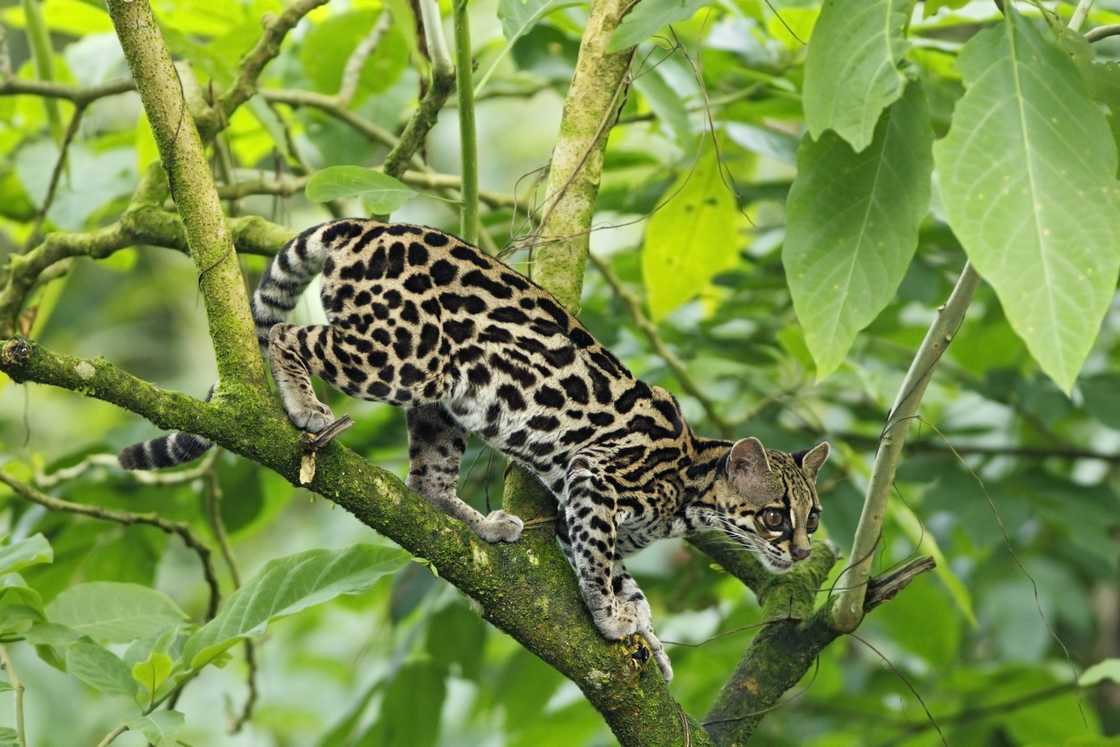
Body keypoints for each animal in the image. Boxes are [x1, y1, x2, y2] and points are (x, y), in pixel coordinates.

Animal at [120, 219, 833, 680]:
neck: (690, 482)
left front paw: (645, 631)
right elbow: (601, 566)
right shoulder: (593, 477)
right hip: (400, 357)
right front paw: (610, 617)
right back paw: (304, 405)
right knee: (289, 334)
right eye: (775, 517)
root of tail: (365, 228)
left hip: (442, 398)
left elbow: (621, 573)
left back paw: (483, 524)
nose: (802, 552)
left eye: (814, 516)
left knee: (427, 484)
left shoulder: (579, 509)